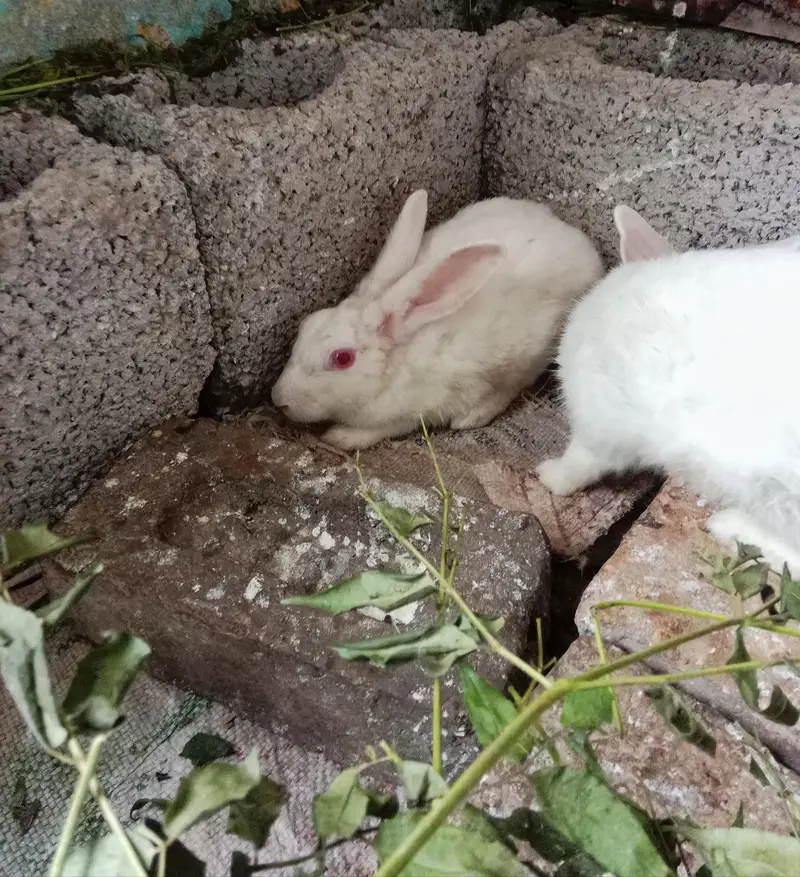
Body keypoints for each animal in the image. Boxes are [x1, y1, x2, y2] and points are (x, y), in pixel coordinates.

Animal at [271, 189, 603, 450]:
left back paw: (472, 416)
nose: (278, 399)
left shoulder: (416, 410)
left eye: (342, 358)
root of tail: (587, 252)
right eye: (306, 326)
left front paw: (340, 437)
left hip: (527, 354)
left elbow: (379, 429)